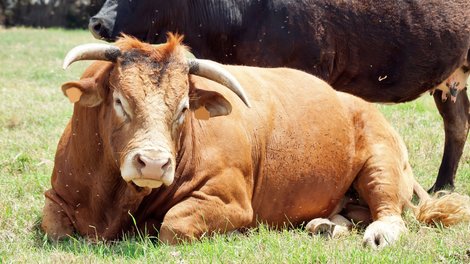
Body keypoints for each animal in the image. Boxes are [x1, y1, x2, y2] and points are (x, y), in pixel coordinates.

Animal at [42, 34, 468, 248]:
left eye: (183, 107)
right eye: (119, 101)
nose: (153, 162)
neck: (114, 201)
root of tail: (356, 102)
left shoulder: (229, 200)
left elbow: (173, 226)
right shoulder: (57, 198)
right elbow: (54, 228)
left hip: (381, 160)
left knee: (390, 212)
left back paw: (379, 233)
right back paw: (325, 226)